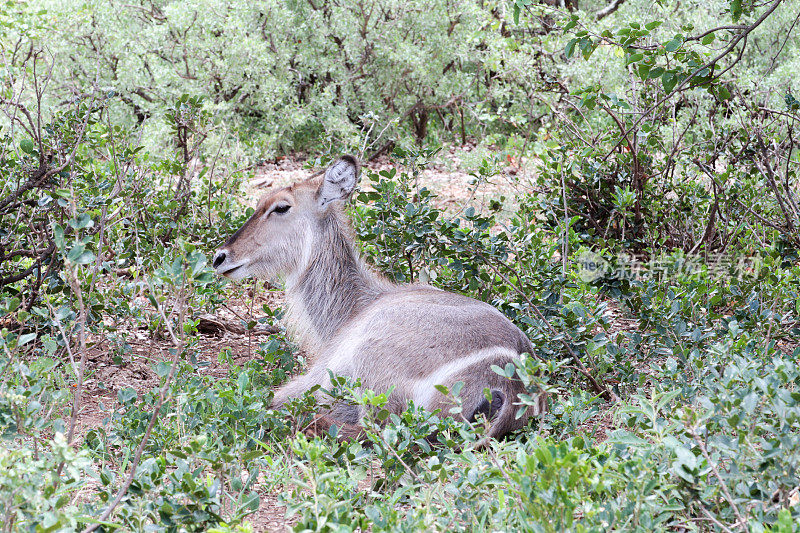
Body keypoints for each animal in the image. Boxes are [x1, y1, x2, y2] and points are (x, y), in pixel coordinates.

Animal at [209, 154, 548, 440]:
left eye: (281, 206)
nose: (220, 257)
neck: (357, 305)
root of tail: (510, 379)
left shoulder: (318, 376)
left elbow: (262, 398)